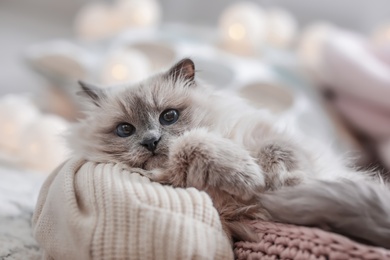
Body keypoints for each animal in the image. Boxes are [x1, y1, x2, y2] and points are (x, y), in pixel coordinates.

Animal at [68, 58, 390, 248]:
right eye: (125, 130)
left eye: (169, 116)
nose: (151, 141)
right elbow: (193, 145)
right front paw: (248, 177)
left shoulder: (273, 138)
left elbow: (278, 153)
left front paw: (278, 181)